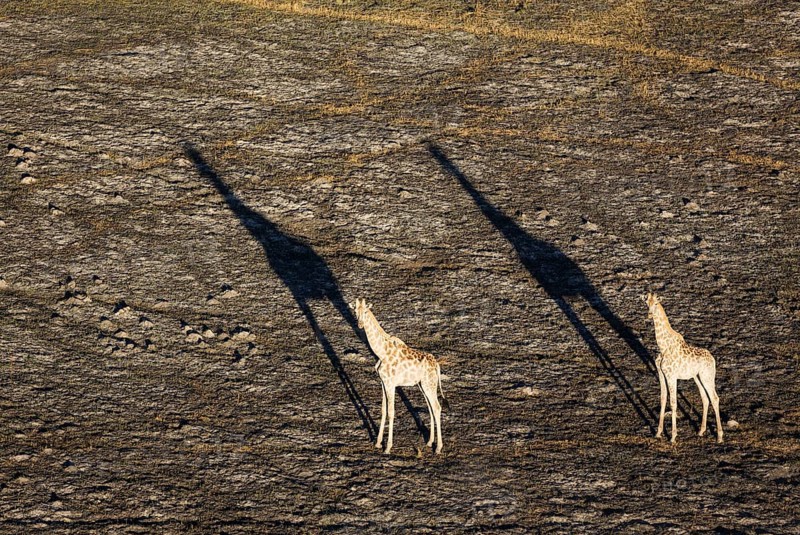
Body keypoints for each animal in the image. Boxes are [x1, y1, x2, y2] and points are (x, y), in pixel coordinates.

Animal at [350, 298, 449, 454]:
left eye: (365, 311)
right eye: (355, 311)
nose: (360, 324)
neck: (381, 352)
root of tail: (437, 366)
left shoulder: (391, 384)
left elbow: (391, 412)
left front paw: (388, 447)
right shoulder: (383, 382)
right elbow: (383, 410)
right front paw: (378, 443)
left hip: (429, 384)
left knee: (437, 407)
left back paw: (438, 448)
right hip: (423, 385)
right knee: (431, 408)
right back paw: (429, 442)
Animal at [643, 292, 723, 443]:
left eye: (656, 303)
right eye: (647, 303)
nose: (649, 315)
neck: (663, 347)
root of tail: (712, 359)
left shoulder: (672, 376)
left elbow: (673, 403)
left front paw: (673, 436)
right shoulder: (661, 374)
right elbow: (663, 399)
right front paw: (658, 433)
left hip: (707, 376)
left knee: (715, 398)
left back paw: (720, 437)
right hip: (697, 377)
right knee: (705, 398)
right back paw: (701, 431)